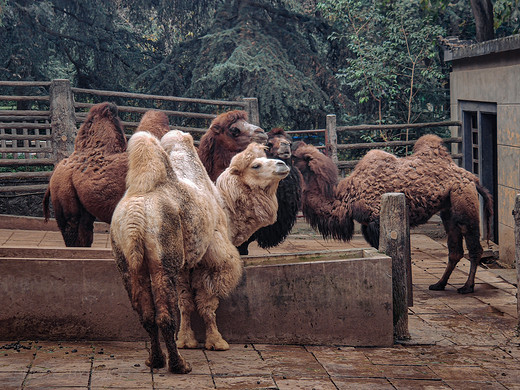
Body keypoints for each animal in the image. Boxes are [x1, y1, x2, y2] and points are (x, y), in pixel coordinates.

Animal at [111, 130, 288, 372]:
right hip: (164, 254)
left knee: (145, 312)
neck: (225, 209)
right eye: (256, 165)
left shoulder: (186, 264)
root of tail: (136, 218)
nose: (282, 164)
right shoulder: (212, 259)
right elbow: (207, 302)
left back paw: (155, 360)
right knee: (164, 314)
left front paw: (186, 340)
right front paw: (217, 341)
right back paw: (178, 365)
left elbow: (185, 302)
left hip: (126, 256)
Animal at [294, 134, 494, 292]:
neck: (347, 198)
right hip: (448, 211)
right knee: (455, 250)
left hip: (464, 203)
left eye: (294, 157)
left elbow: (385, 251)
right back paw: (439, 284)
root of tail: (472, 177)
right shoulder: (367, 226)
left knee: (473, 246)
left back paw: (467, 287)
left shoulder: (375, 221)